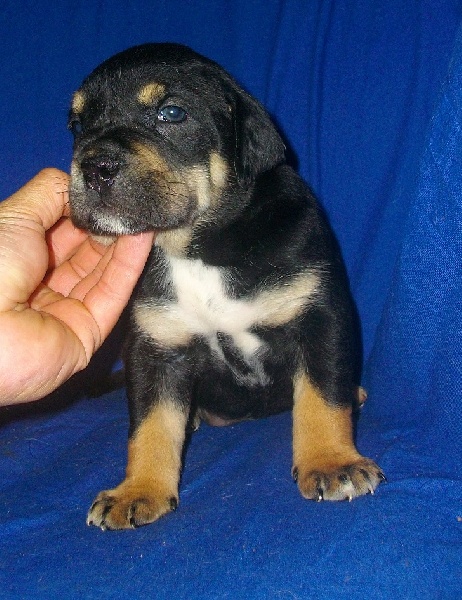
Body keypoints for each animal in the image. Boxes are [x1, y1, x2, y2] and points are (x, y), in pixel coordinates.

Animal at [68, 43, 385, 530]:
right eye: (78, 124)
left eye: (171, 112)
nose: (93, 167)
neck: (198, 246)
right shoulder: (155, 347)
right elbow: (151, 425)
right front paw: (139, 490)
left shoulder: (319, 318)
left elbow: (323, 399)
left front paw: (332, 463)